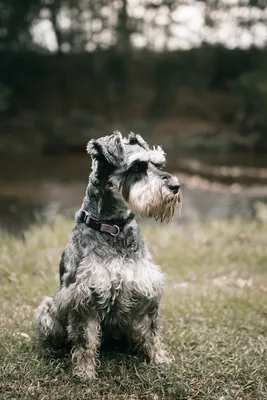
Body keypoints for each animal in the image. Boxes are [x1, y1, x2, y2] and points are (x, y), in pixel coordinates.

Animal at [34, 133, 182, 380]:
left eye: (158, 164)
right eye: (137, 166)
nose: (175, 186)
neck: (114, 227)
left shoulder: (146, 290)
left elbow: (152, 332)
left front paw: (160, 358)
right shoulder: (84, 298)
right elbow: (85, 340)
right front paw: (85, 372)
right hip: (47, 310)